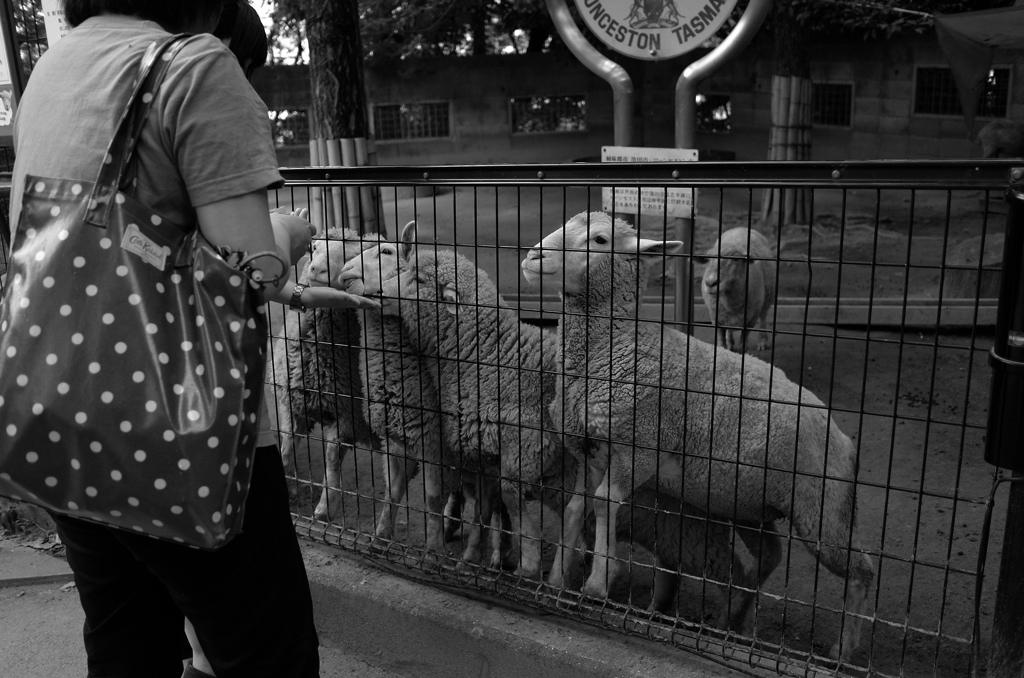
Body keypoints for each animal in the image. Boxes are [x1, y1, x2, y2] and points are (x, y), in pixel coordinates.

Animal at [270, 228, 382, 520]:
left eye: (351, 257)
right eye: (313, 248)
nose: (316, 269)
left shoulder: (347, 416)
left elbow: (331, 462)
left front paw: (324, 508)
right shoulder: (291, 401)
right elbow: (286, 446)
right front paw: (289, 487)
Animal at [378, 237, 585, 577]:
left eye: (419, 279)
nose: (379, 291)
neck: (490, 354)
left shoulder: (522, 450)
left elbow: (511, 501)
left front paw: (525, 564)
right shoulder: (488, 454)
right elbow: (487, 510)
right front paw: (485, 554)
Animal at [696, 228, 774, 356]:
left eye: (736, 258)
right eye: (707, 259)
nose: (710, 283)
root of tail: (742, 228)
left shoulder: (750, 321)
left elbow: (743, 345)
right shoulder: (717, 319)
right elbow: (721, 343)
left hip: (766, 298)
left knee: (763, 317)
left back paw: (762, 341)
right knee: (730, 330)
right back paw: (730, 343)